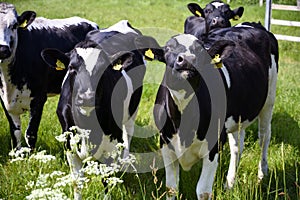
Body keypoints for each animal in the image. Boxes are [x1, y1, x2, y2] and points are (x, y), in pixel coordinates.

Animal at [0, 2, 98, 150]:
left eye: (14, 25)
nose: (2, 49)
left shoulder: (39, 98)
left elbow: (30, 134)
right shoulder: (5, 101)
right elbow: (15, 134)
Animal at [135, 26, 278, 198]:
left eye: (200, 50)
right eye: (168, 48)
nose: (188, 59)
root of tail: (253, 25)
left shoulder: (214, 144)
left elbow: (203, 191)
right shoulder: (165, 142)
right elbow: (171, 187)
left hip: (269, 100)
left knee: (264, 136)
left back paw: (262, 174)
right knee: (237, 145)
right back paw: (229, 183)